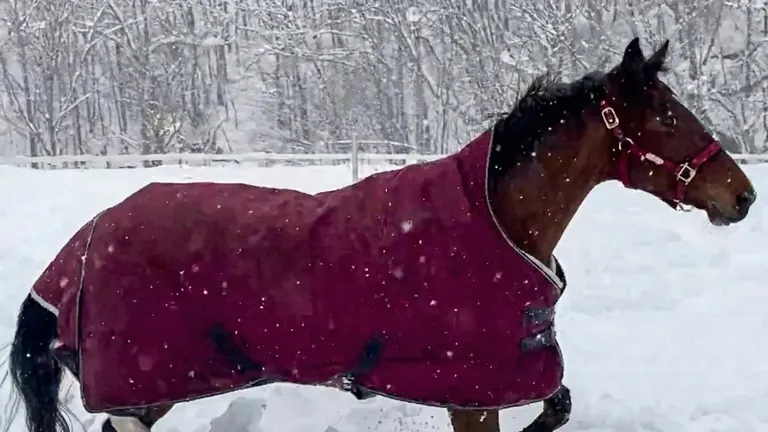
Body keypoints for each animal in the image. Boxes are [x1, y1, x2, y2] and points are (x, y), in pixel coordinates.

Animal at [4, 37, 755, 432]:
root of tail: (80, 246)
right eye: (667, 118)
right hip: (144, 388)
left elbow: (560, 402)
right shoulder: (471, 393)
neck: (496, 220)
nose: (744, 197)